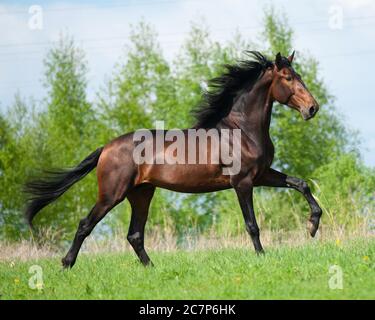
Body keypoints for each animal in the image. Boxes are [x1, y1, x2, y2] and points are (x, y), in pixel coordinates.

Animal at [24, 52, 324, 268]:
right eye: (287, 77)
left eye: (297, 75)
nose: (312, 108)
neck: (241, 130)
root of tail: (106, 148)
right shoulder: (243, 182)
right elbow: (252, 224)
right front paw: (262, 257)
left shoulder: (262, 175)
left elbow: (301, 183)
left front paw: (312, 225)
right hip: (112, 194)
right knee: (86, 225)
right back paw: (66, 264)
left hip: (142, 193)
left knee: (134, 234)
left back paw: (152, 268)